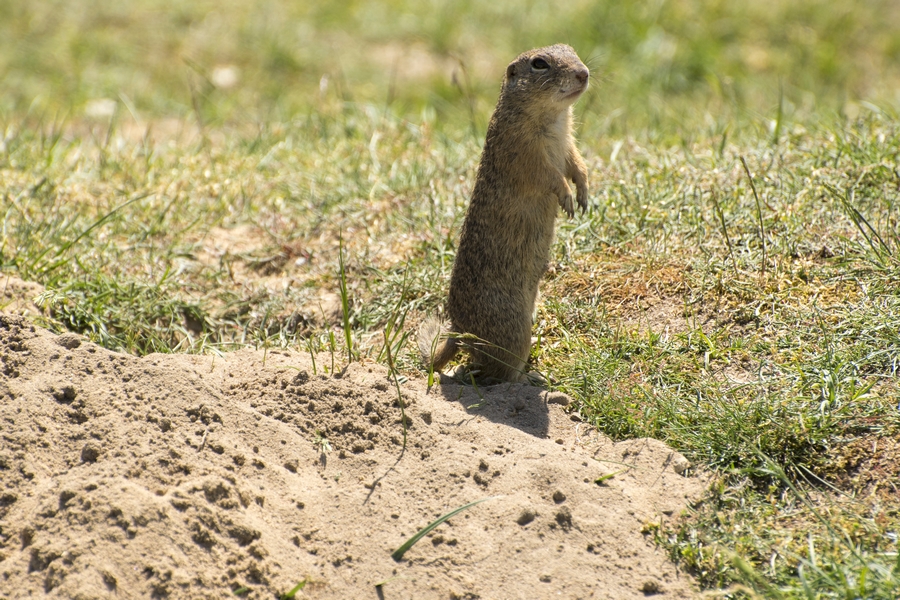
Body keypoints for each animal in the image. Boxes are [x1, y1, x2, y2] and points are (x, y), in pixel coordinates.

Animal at [422, 42, 592, 382]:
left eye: (571, 49)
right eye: (539, 64)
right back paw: (530, 377)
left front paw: (582, 193)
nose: (584, 73)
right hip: (512, 329)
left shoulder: (567, 142)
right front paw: (567, 197)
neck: (554, 118)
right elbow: (548, 175)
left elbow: (575, 162)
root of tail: (458, 331)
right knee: (497, 371)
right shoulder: (523, 150)